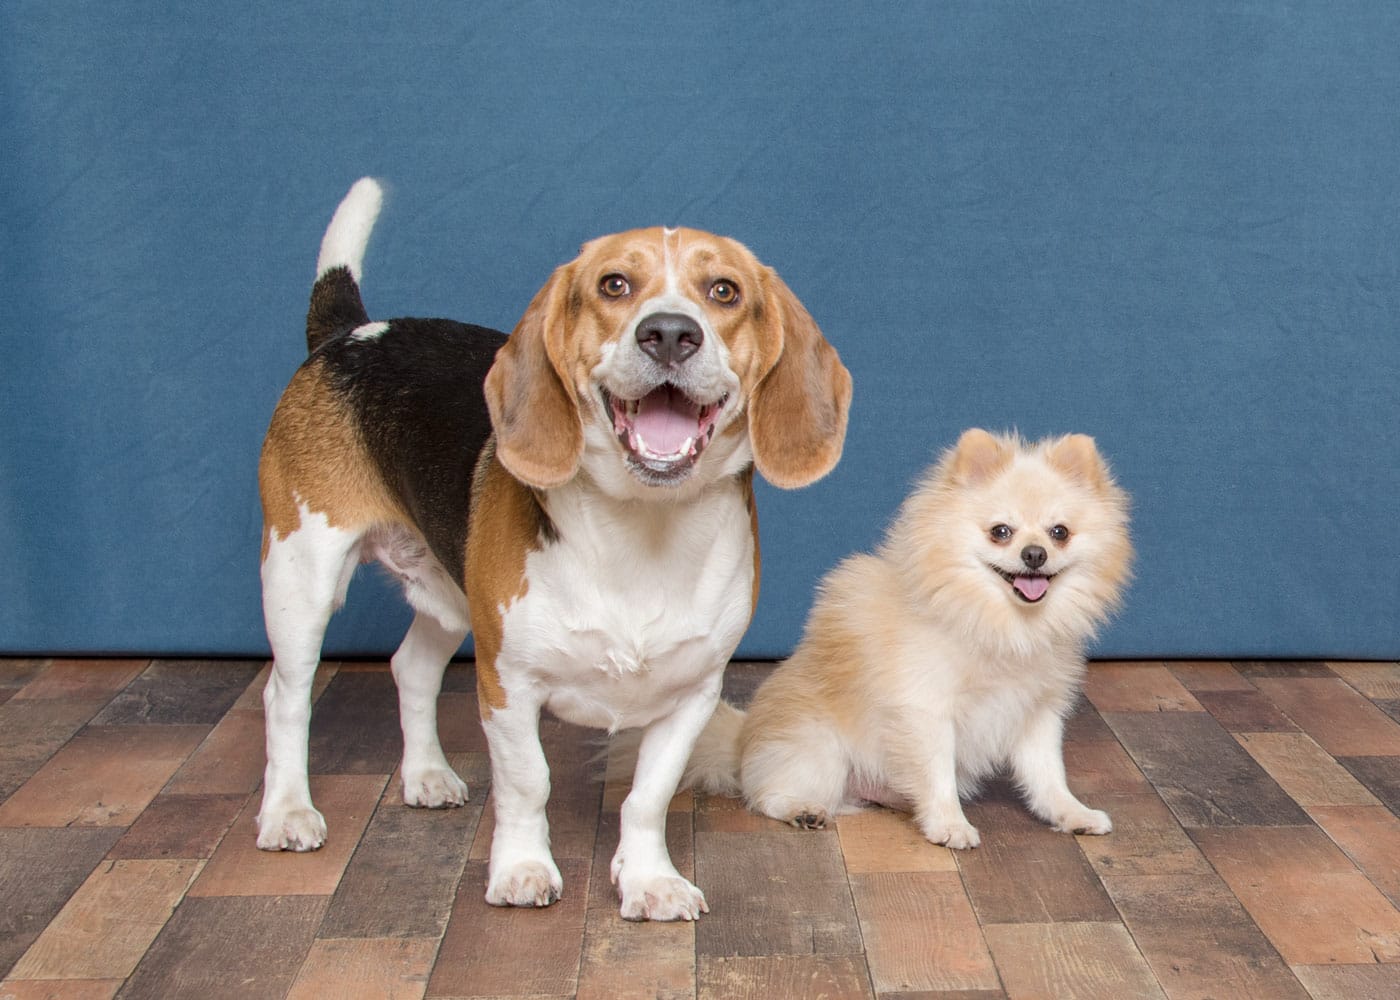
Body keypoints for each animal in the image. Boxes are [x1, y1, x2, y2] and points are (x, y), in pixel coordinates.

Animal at [261, 179, 851, 918]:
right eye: (614, 284)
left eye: (724, 291)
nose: (669, 333)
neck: (642, 530)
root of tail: (351, 335)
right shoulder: (507, 683)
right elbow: (527, 782)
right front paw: (520, 869)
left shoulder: (693, 694)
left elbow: (648, 797)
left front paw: (649, 878)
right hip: (300, 579)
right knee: (286, 698)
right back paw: (287, 811)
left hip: (449, 595)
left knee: (411, 668)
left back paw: (426, 774)